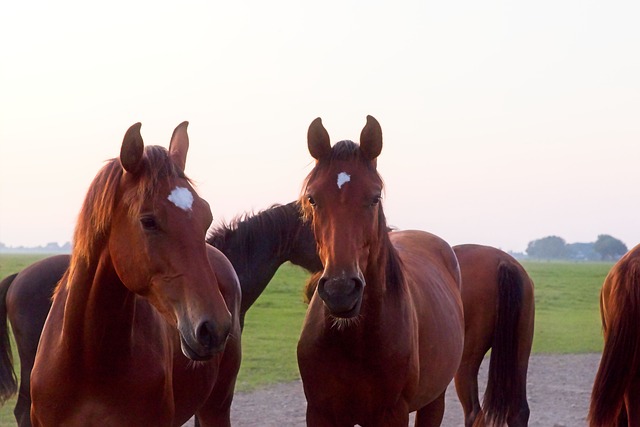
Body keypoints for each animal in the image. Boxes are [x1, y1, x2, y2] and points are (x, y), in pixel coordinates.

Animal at [298, 115, 462, 426]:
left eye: (374, 198)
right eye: (312, 198)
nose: (341, 291)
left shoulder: (392, 413)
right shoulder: (320, 412)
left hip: (435, 400)